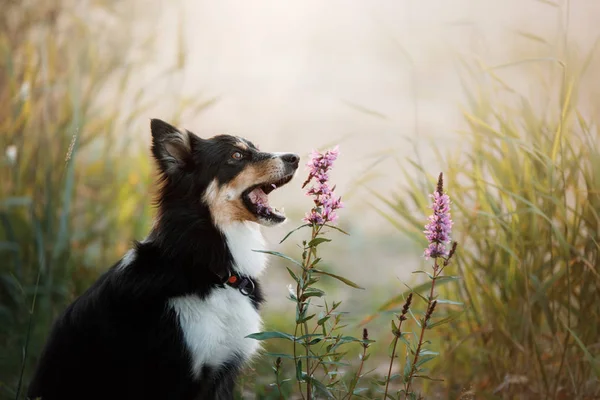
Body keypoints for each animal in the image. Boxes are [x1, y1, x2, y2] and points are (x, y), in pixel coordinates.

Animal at [28, 119, 300, 400]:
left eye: (255, 148)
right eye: (236, 156)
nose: (295, 158)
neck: (209, 268)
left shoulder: (223, 371)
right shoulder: (178, 374)